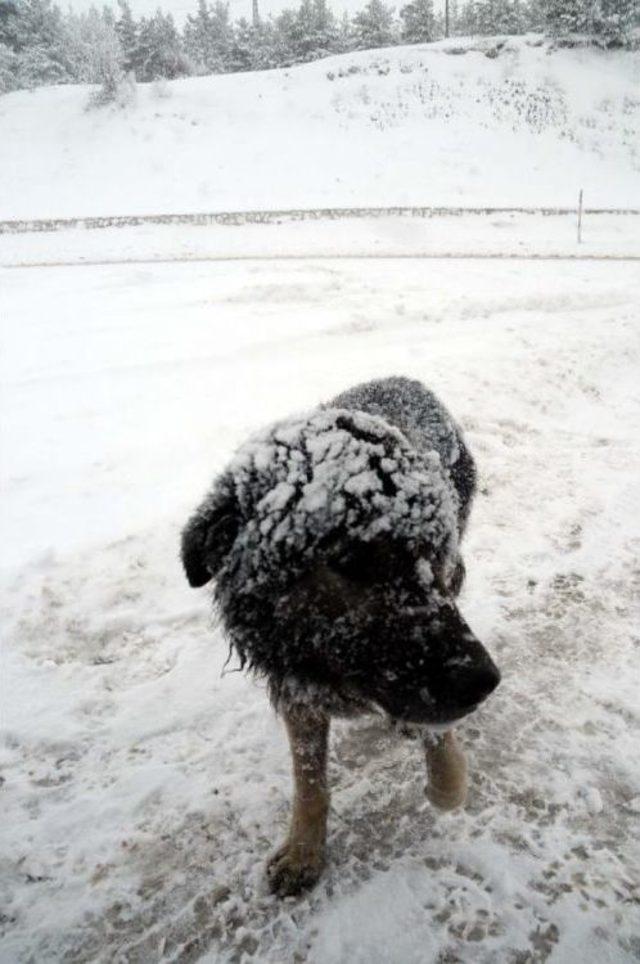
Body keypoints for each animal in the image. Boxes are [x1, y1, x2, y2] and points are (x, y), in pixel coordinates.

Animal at [180, 374, 500, 896]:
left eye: (431, 551)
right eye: (349, 561)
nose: (484, 682)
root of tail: (404, 379)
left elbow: (445, 762)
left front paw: (445, 784)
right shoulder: (297, 688)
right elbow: (310, 782)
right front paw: (304, 853)